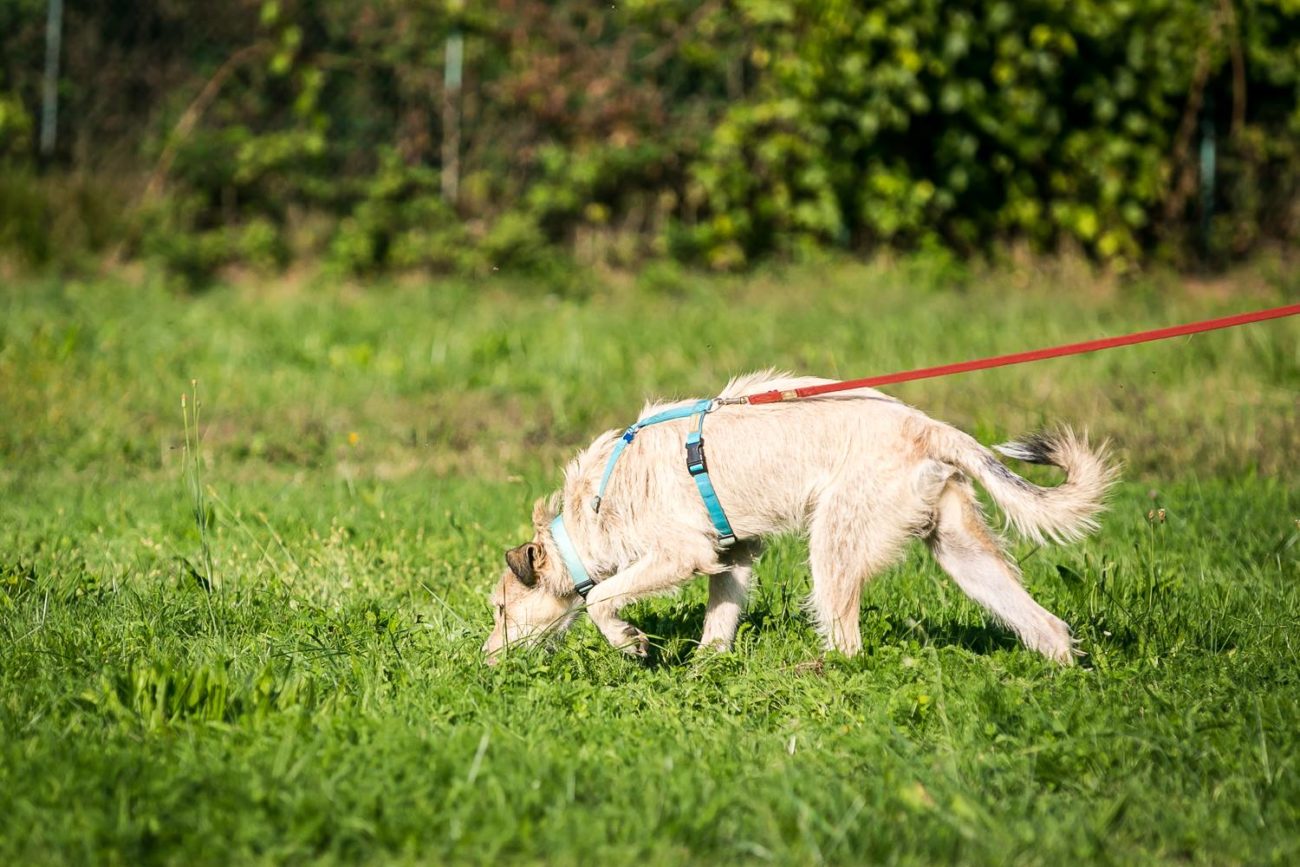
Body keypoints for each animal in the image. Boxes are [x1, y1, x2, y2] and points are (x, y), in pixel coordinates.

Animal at [483, 371, 1112, 665]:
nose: (484, 661)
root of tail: (930, 426)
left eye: (500, 610)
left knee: (848, 644)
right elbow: (719, 620)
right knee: (1047, 626)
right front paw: (703, 671)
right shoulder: (732, 555)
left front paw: (629, 643)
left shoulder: (681, 553)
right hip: (963, 554)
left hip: (833, 546)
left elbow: (599, 599)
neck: (591, 507)